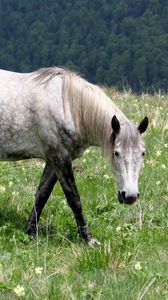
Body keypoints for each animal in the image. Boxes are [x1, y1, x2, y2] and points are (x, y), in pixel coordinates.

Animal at [0, 67, 148, 244]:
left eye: (143, 153)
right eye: (116, 153)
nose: (130, 196)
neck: (69, 108)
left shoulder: (53, 161)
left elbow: (42, 195)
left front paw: (30, 231)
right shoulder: (60, 159)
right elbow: (74, 199)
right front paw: (88, 239)